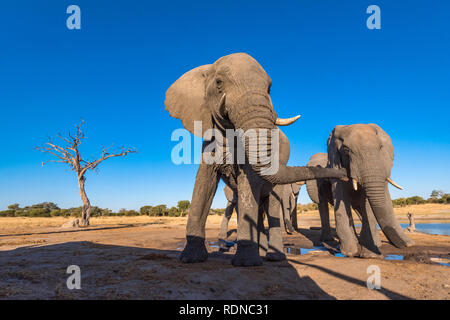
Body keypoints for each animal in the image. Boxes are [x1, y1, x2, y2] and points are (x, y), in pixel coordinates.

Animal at [165, 53, 348, 268]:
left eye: (269, 89)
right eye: (218, 83)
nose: (346, 175)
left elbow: (247, 184)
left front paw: (245, 264)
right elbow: (204, 185)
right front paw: (191, 259)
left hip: (278, 188)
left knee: (272, 207)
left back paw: (274, 258)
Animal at [304, 123, 414, 258]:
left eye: (380, 148)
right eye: (346, 150)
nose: (407, 246)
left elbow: (367, 203)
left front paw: (369, 255)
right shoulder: (336, 169)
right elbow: (341, 200)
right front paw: (350, 252)